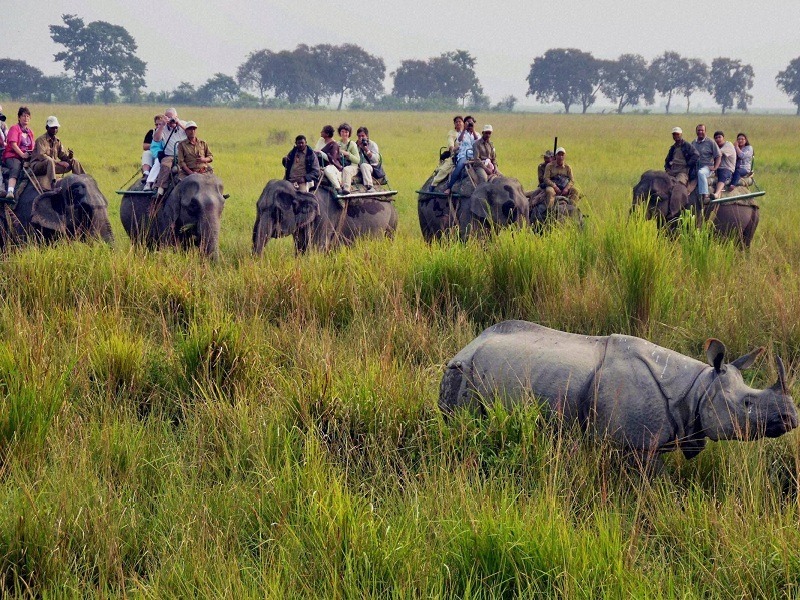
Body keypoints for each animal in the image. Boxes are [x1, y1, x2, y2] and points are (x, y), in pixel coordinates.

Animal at [252, 179, 398, 255]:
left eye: (277, 212)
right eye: (257, 208)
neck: (299, 191)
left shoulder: (323, 219)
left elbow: (317, 250)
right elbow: (300, 249)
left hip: (392, 224)